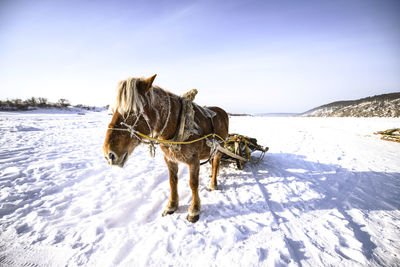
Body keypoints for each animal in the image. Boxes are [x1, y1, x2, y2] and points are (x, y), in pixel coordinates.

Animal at [102, 74, 228, 223]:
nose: (109, 154)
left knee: (216, 163)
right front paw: (172, 206)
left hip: (219, 148)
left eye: (133, 112)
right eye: (113, 111)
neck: (179, 124)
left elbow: (193, 183)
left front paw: (194, 210)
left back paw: (213, 183)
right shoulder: (169, 159)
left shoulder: (194, 160)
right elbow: (172, 181)